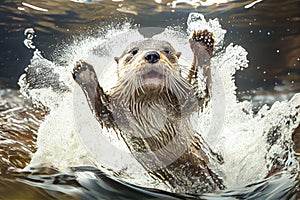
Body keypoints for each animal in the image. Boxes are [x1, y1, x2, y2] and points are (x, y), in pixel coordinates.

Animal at [71, 30, 224, 194]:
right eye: (134, 51)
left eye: (167, 51)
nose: (152, 55)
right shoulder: (116, 112)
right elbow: (102, 112)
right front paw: (84, 73)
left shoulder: (186, 99)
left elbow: (201, 92)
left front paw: (202, 42)